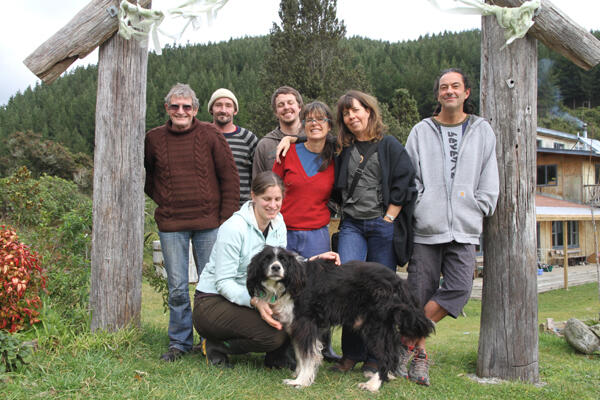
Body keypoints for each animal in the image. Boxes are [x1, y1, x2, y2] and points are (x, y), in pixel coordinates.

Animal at [246, 245, 434, 392]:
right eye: (267, 260)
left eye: (283, 261)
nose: (275, 268)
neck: (289, 282)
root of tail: (397, 280)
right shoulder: (297, 326)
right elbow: (300, 354)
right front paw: (298, 374)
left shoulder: (306, 324)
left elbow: (307, 356)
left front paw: (300, 381)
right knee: (392, 352)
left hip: (375, 325)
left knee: (386, 355)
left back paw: (373, 385)